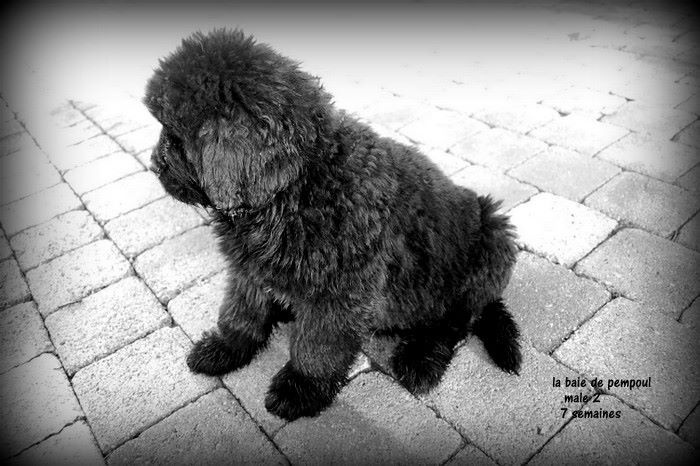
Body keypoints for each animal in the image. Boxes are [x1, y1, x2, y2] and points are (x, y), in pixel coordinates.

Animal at [145, 29, 521, 421]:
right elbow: (241, 309)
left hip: (493, 238)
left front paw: (299, 388)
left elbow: (316, 345)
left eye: (175, 135)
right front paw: (224, 348)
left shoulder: (337, 291)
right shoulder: (249, 268)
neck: (294, 190)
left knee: (455, 322)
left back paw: (420, 359)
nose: (154, 164)